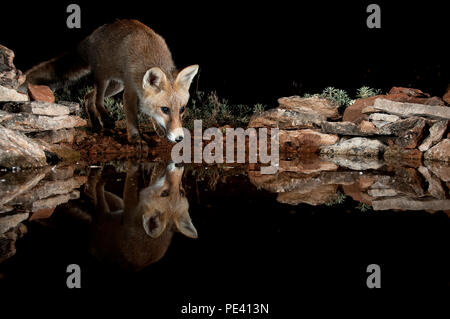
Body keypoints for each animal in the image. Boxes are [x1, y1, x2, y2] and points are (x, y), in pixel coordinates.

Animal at [25, 19, 199, 144]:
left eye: (182, 109)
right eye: (165, 109)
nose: (179, 138)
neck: (149, 54)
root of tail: (90, 36)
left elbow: (152, 115)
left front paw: (159, 129)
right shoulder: (129, 90)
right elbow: (132, 118)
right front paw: (135, 139)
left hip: (116, 85)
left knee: (88, 97)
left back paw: (96, 125)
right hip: (104, 77)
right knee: (98, 100)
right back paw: (106, 120)